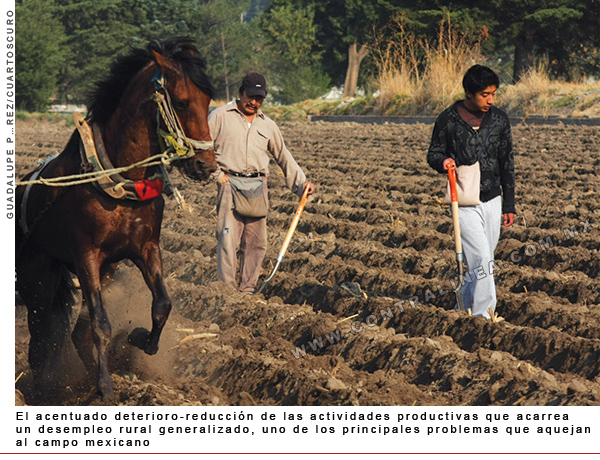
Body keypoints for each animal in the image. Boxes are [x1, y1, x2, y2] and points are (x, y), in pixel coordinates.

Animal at [15, 37, 218, 400]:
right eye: (181, 102)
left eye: (208, 100)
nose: (205, 165)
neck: (121, 179)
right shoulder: (86, 256)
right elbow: (101, 324)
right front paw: (106, 388)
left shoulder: (145, 248)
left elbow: (162, 305)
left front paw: (139, 340)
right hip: (35, 278)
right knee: (39, 341)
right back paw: (43, 392)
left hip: (94, 273)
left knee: (73, 333)